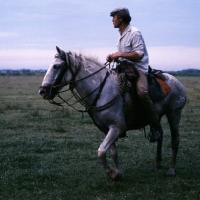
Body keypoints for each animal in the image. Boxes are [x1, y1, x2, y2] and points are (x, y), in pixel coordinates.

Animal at [38, 47, 186, 181]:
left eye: (56, 66)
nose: (42, 91)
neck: (101, 90)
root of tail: (177, 82)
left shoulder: (117, 127)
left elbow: (101, 151)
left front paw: (112, 173)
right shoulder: (105, 130)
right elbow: (112, 152)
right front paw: (118, 173)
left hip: (174, 114)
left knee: (175, 141)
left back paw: (171, 169)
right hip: (158, 116)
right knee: (160, 135)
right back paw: (158, 162)